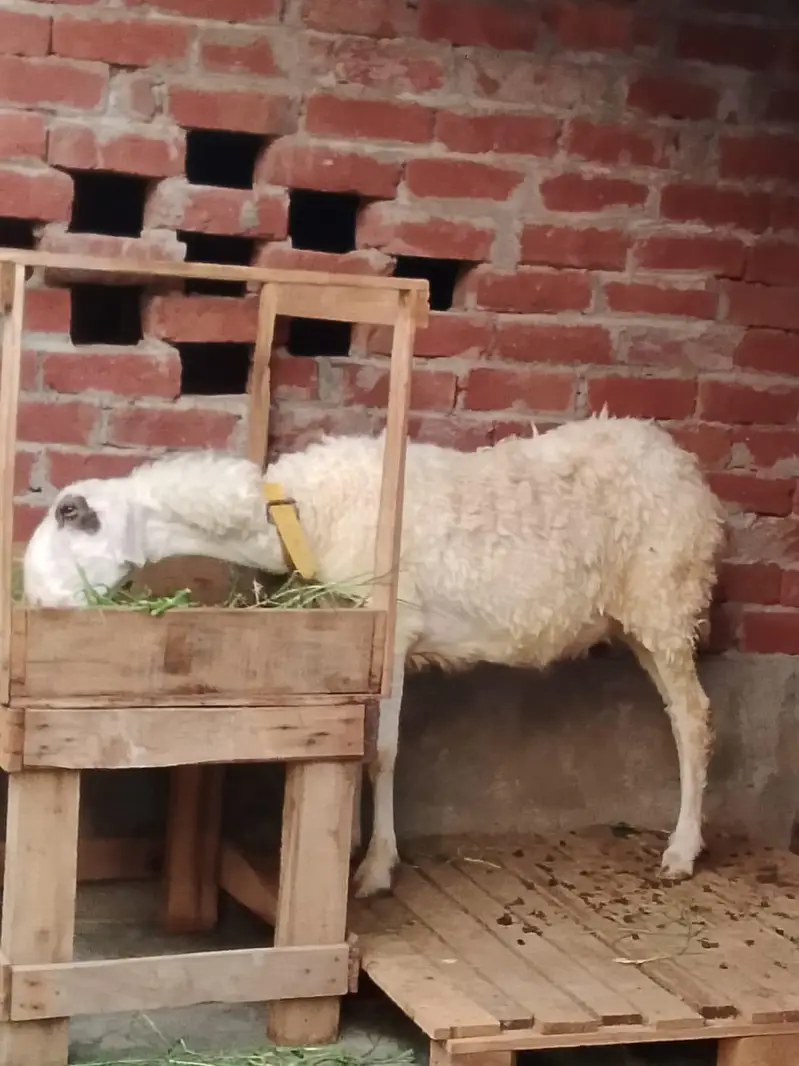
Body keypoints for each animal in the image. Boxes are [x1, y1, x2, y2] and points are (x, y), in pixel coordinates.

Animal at [23, 413, 725, 899]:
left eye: (71, 521)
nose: (32, 603)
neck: (305, 511)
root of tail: (683, 464)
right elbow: (363, 750)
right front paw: (359, 844)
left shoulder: (392, 627)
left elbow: (382, 754)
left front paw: (375, 868)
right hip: (638, 619)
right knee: (679, 713)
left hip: (665, 600)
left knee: (693, 719)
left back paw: (682, 850)